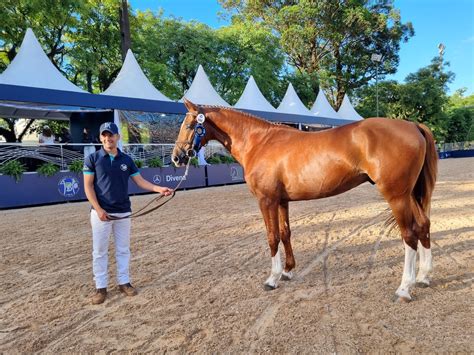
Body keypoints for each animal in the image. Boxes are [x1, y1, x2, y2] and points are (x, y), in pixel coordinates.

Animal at [173, 98, 436, 302]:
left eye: (189, 124)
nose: (177, 157)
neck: (260, 142)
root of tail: (412, 125)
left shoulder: (266, 201)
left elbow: (272, 237)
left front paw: (272, 278)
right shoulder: (281, 201)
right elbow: (285, 233)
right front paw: (288, 271)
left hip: (397, 196)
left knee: (409, 235)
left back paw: (404, 288)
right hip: (410, 194)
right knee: (423, 225)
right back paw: (423, 277)